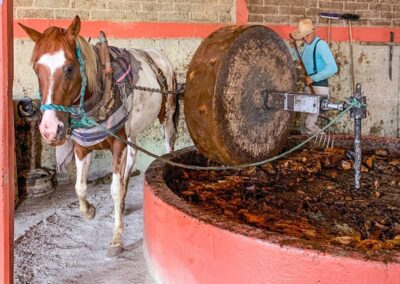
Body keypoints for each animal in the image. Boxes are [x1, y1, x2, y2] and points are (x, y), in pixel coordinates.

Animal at [19, 15, 179, 258]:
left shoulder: (117, 145)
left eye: (69, 68)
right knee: (132, 157)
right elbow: (80, 187)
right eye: (37, 69)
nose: (49, 129)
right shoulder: (82, 147)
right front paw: (89, 211)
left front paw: (116, 239)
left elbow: (113, 188)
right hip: (131, 130)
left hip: (166, 117)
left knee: (168, 146)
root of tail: (160, 57)